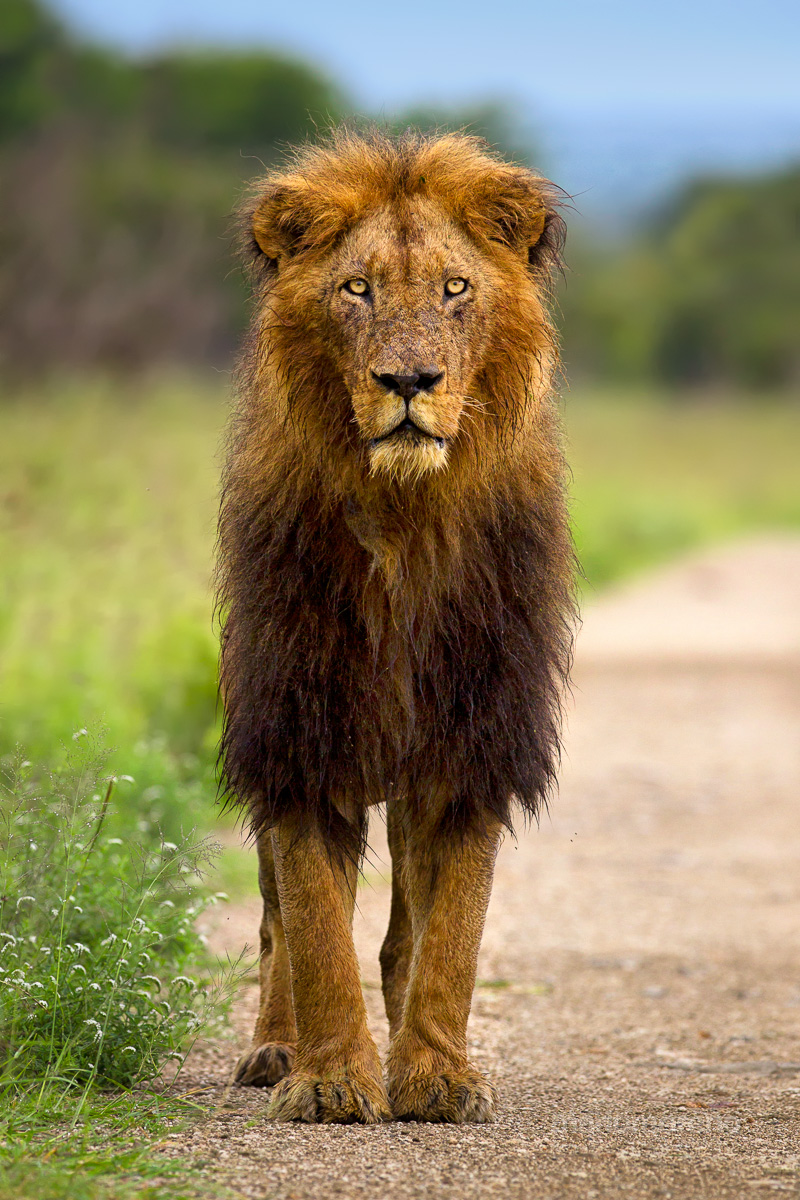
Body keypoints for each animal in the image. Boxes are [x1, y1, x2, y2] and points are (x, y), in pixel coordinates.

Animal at [216, 129, 575, 1124]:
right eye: (356, 288)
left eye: (455, 288)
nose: (409, 381)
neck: (406, 520)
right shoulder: (297, 732)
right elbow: (313, 931)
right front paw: (332, 1079)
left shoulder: (472, 738)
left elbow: (451, 934)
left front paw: (439, 1076)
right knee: (275, 927)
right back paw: (275, 1048)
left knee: (400, 933)